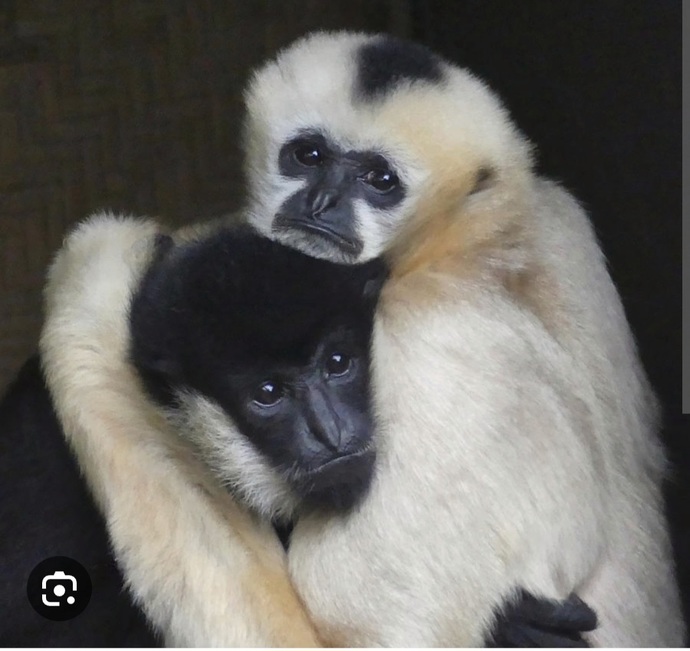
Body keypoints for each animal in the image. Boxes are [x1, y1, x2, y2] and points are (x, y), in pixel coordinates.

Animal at [236, 31, 686, 646]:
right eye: (309, 156)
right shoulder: (560, 218)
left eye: (380, 181)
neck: (483, 239)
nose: (322, 204)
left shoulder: (429, 336)